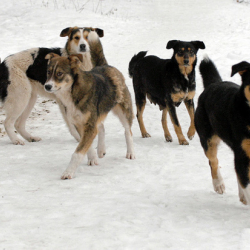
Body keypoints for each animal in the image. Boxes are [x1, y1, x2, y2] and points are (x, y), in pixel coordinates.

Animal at [44, 31, 136, 180]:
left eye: (59, 73)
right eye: (48, 72)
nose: (47, 86)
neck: (72, 93)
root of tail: (106, 66)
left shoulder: (89, 125)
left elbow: (77, 152)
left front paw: (68, 172)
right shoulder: (79, 124)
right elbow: (87, 145)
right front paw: (92, 157)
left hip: (124, 110)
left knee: (128, 131)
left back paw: (130, 152)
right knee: (102, 127)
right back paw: (101, 149)